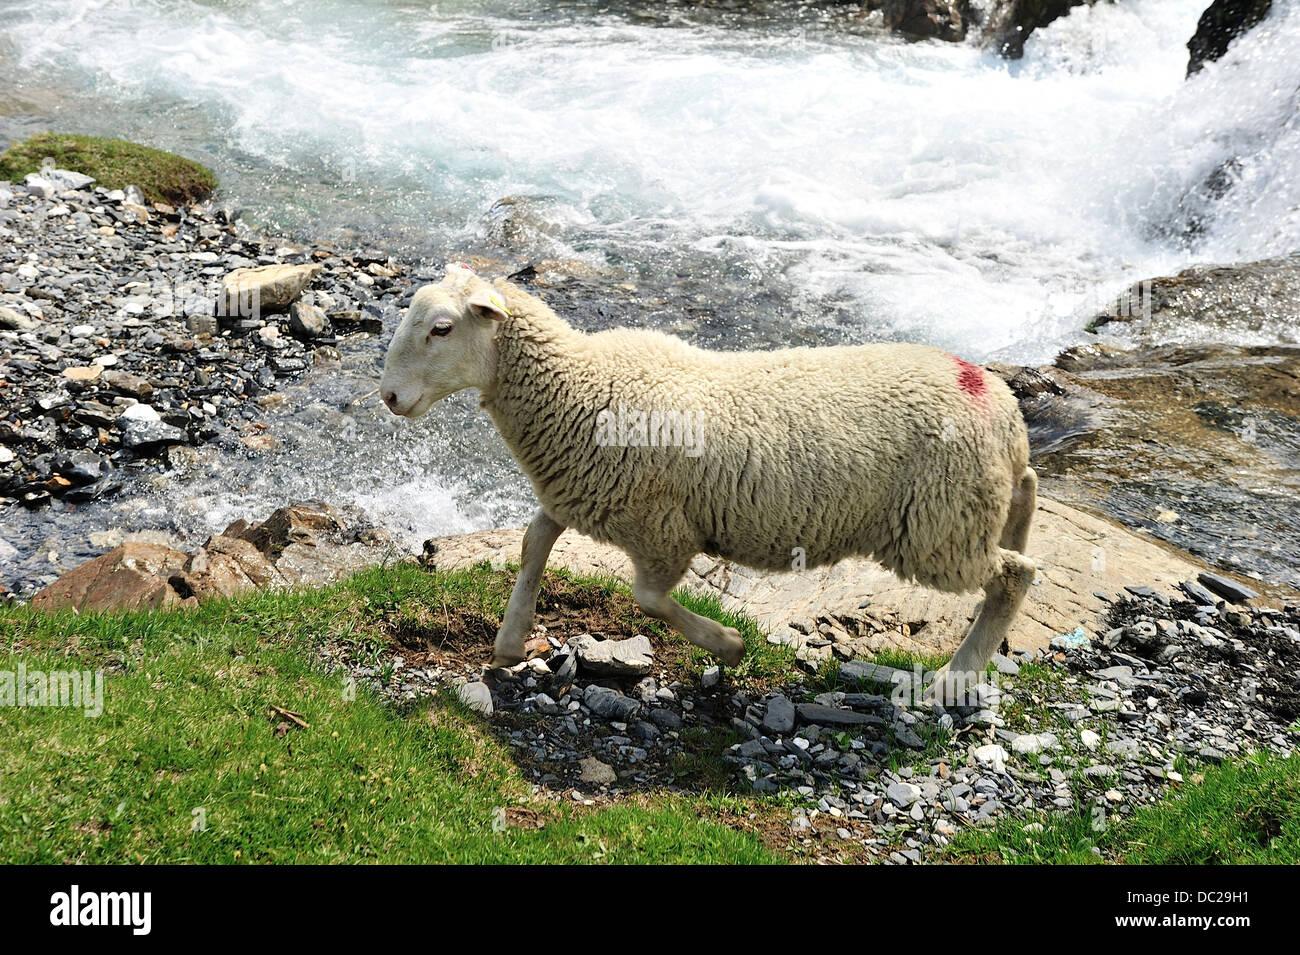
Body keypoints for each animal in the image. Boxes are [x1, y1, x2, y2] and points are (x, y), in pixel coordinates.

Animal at [377, 261, 1034, 696]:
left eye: (441, 328)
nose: (388, 398)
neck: (577, 384)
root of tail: (998, 402)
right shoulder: (578, 490)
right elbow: (533, 541)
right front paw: (510, 641)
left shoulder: (661, 528)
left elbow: (647, 598)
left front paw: (728, 644)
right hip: (966, 507)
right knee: (1023, 507)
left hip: (938, 526)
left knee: (1014, 575)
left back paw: (956, 676)